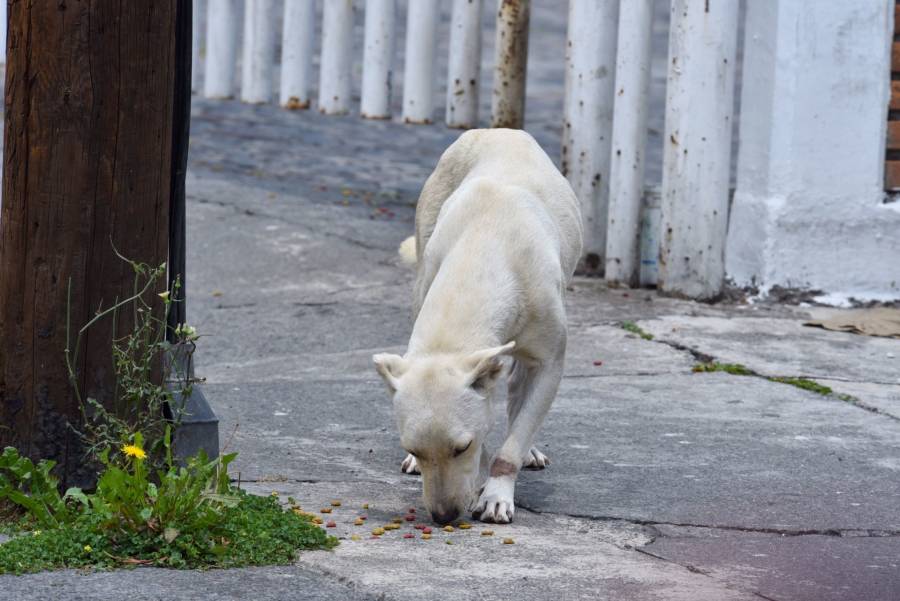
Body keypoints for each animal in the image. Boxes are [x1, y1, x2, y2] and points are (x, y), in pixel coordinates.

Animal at [372, 129, 584, 524]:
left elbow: (514, 436)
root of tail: (499, 130)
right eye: (415, 447)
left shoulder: (549, 361)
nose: (443, 516)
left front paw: (496, 495)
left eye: (461, 447)